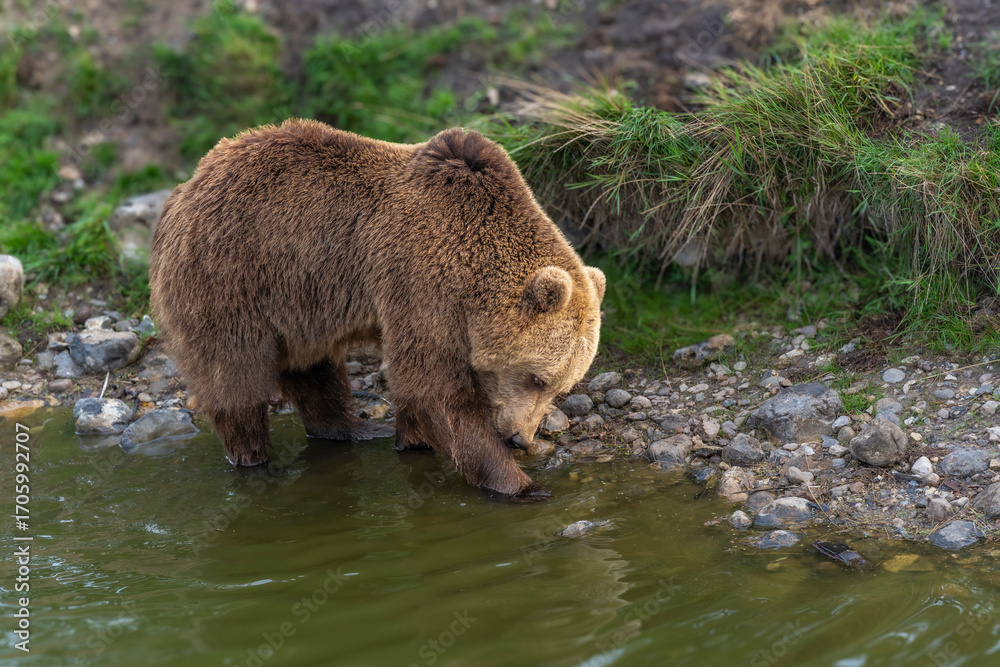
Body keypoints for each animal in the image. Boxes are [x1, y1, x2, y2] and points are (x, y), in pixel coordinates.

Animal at [149, 119, 605, 499]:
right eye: (536, 378)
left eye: (562, 387)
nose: (519, 439)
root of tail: (189, 183)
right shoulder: (423, 279)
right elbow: (432, 385)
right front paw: (522, 485)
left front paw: (413, 439)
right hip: (231, 275)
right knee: (234, 375)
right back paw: (253, 456)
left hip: (300, 298)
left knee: (313, 365)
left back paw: (355, 430)